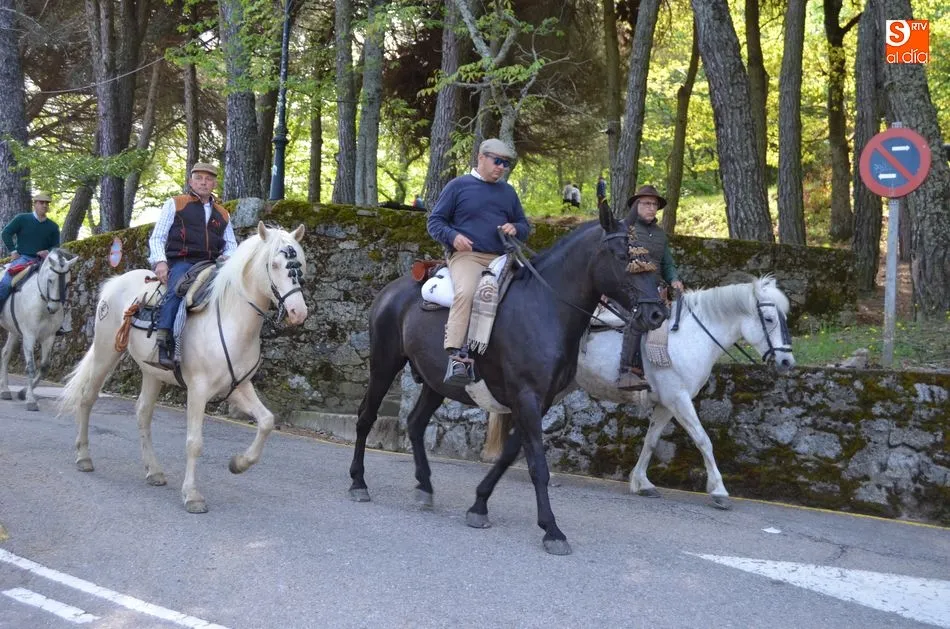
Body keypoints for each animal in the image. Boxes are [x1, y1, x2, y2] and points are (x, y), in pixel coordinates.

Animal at [0, 248, 79, 411]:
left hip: (14, 331)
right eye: (50, 280)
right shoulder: (29, 336)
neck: (42, 303)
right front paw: (30, 400)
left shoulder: (49, 337)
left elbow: (44, 367)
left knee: (5, 354)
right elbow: (31, 367)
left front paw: (23, 393)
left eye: (67, 282)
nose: (53, 308)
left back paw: (5, 390)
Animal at [58, 222, 308, 514]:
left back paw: (154, 471)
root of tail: (114, 283)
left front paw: (238, 464)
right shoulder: (198, 389)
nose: (298, 312)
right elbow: (194, 442)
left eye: (300, 264)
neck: (231, 319)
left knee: (142, 413)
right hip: (106, 352)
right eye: (274, 264)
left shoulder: (238, 387)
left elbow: (267, 421)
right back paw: (84, 457)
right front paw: (192, 495)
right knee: (87, 398)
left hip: (152, 372)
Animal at [349, 204, 668, 555]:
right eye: (622, 255)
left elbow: (509, 454)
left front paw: (479, 505)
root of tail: (390, 290)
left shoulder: (538, 401)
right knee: (366, 417)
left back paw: (425, 486)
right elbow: (537, 465)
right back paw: (358, 482)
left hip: (436, 382)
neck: (545, 307)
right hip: (384, 364)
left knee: (416, 423)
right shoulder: (527, 396)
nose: (657, 313)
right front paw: (552, 530)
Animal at [571, 275, 795, 509]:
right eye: (769, 319)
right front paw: (719, 491)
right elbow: (703, 440)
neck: (691, 338)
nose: (787, 361)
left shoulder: (667, 405)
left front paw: (642, 483)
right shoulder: (679, 400)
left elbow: (651, 441)